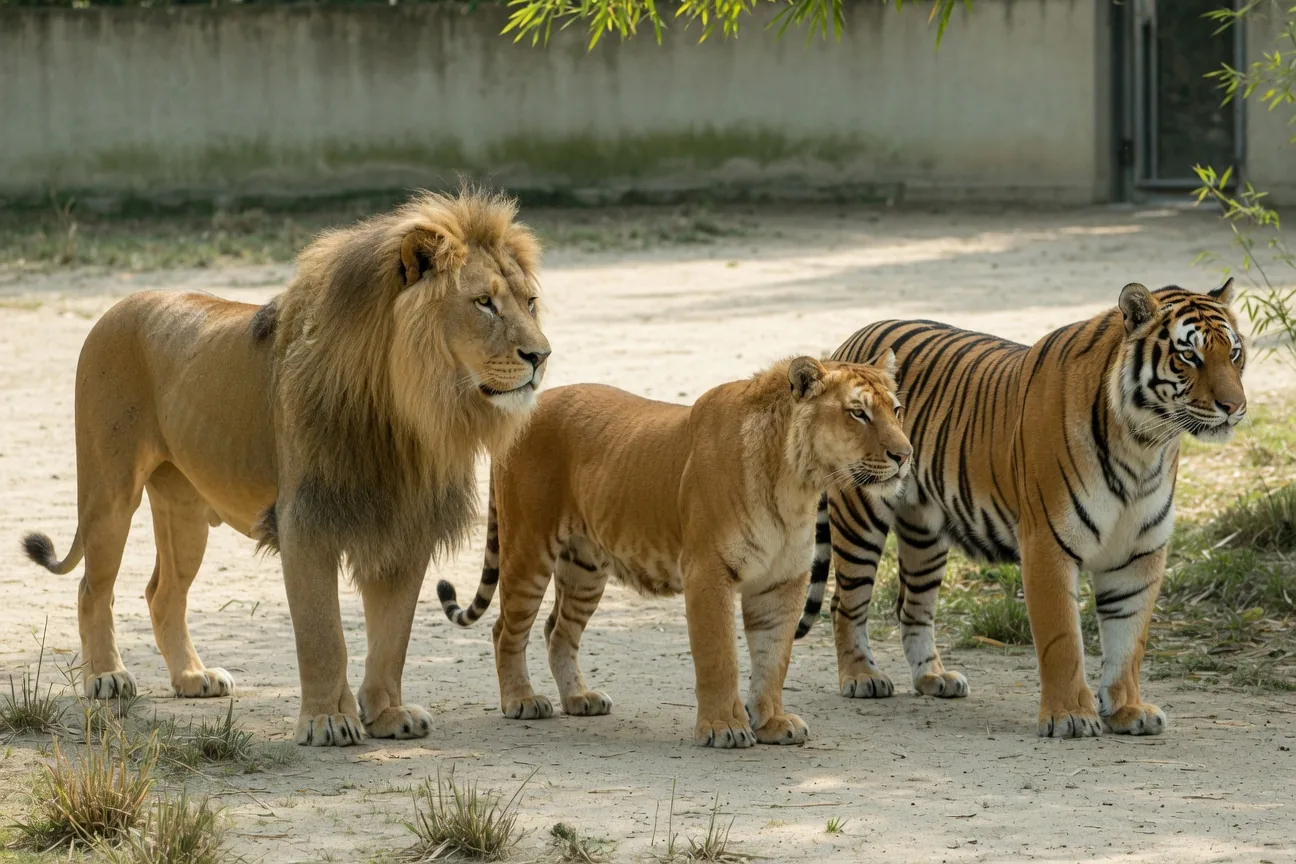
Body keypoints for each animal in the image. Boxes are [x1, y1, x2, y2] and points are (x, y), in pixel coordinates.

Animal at [22, 186, 551, 747]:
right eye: (484, 303)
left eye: (530, 302)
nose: (541, 356)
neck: (409, 412)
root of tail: (115, 307)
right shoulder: (306, 521)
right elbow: (323, 635)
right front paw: (327, 720)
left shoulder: (405, 527)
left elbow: (392, 637)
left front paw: (388, 714)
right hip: (109, 492)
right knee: (92, 588)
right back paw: (107, 676)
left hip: (184, 512)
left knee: (162, 593)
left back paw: (193, 678)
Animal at [437, 354, 912, 748]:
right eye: (858, 413)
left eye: (896, 410)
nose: (905, 455)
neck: (798, 482)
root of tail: (530, 409)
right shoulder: (708, 573)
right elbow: (720, 656)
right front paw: (723, 728)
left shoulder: (782, 582)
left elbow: (774, 658)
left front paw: (773, 722)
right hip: (528, 549)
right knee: (505, 629)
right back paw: (522, 701)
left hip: (585, 567)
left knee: (558, 630)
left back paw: (580, 697)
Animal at [794, 279, 1246, 738]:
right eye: (1188, 356)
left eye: (1234, 353)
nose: (1234, 407)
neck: (1144, 445)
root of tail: (846, 348)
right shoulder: (1048, 542)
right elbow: (1062, 638)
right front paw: (1069, 716)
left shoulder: (1140, 552)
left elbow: (1128, 638)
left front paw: (1127, 709)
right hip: (860, 515)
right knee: (845, 602)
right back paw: (862, 677)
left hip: (924, 530)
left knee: (913, 606)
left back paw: (934, 678)